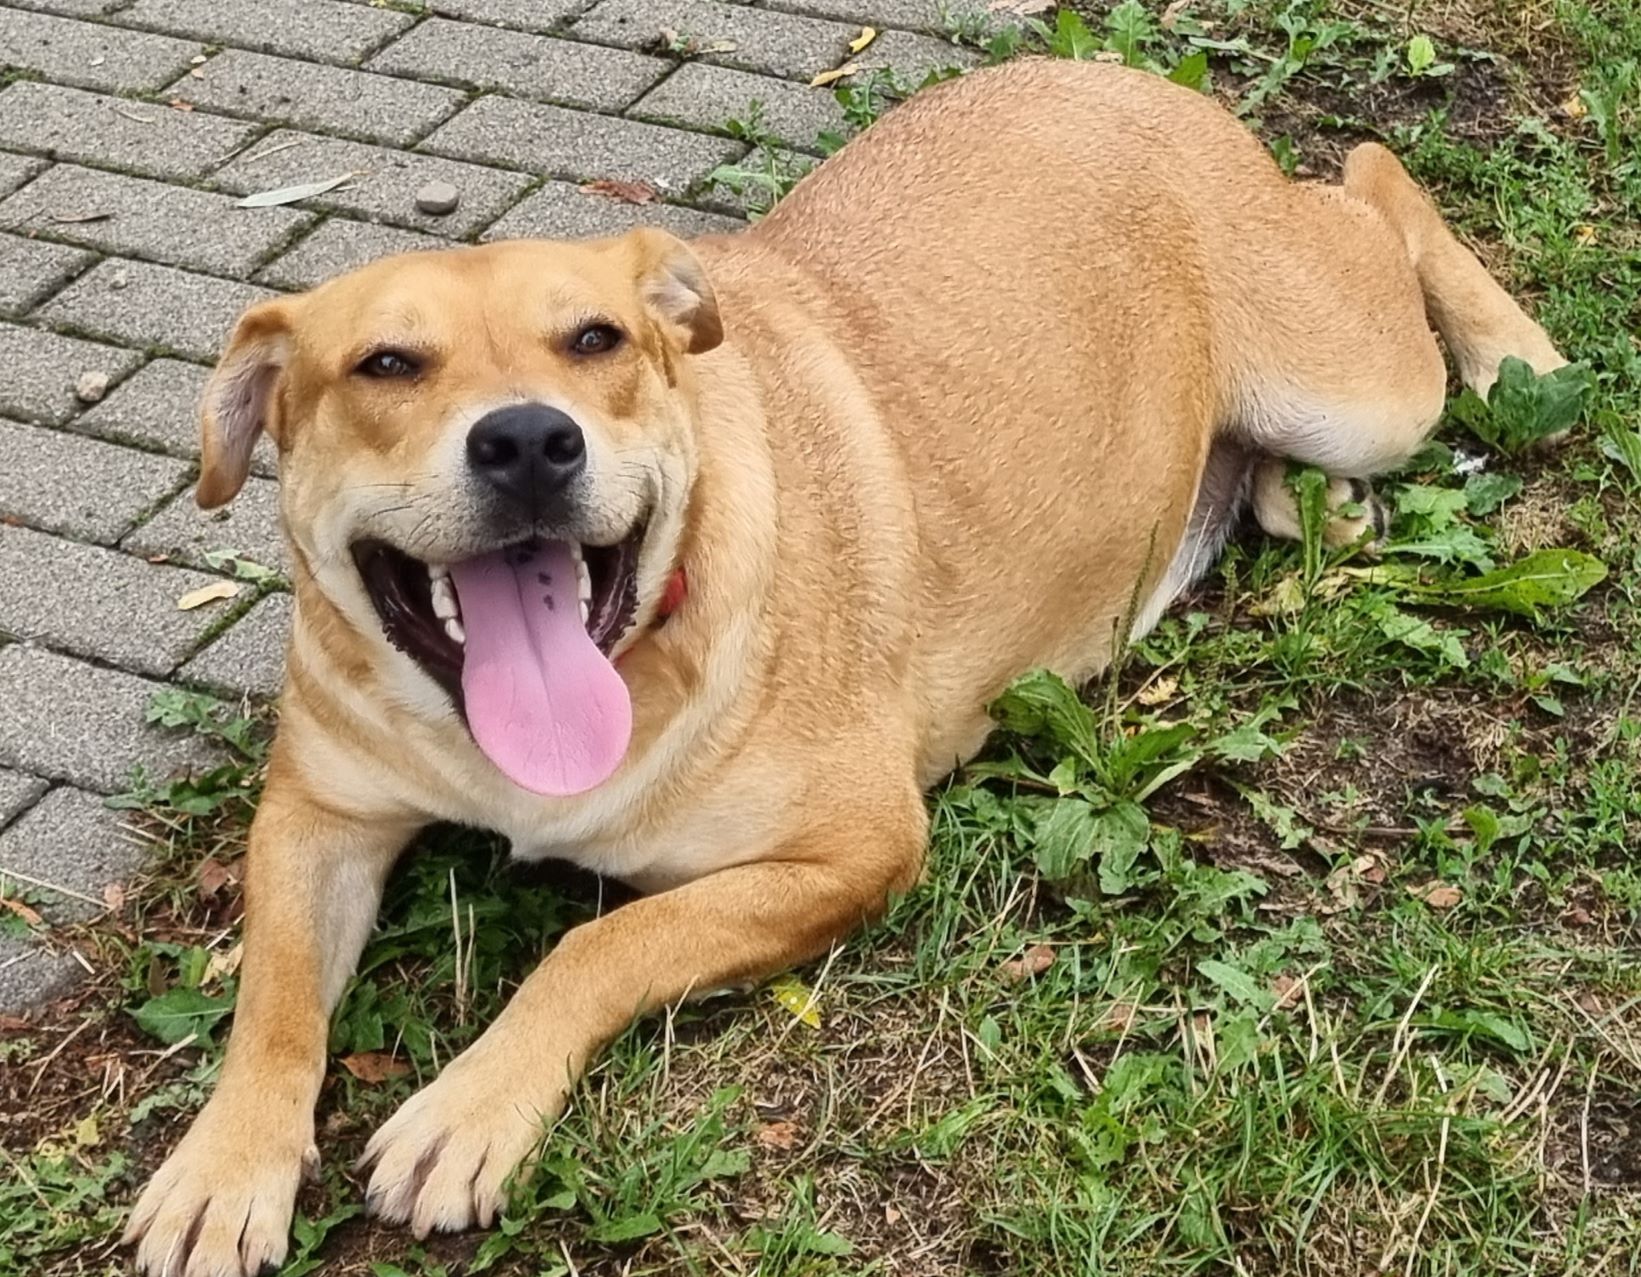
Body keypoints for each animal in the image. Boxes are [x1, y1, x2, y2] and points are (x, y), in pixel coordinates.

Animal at [125, 58, 1565, 1276]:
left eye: (595, 341)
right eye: (385, 363)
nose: (529, 441)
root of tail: (1123, 73)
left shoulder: (855, 846)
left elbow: (602, 942)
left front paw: (470, 1105)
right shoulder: (317, 813)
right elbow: (273, 996)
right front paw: (225, 1163)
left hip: (1356, 387)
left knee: (1375, 178)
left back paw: (1513, 349)